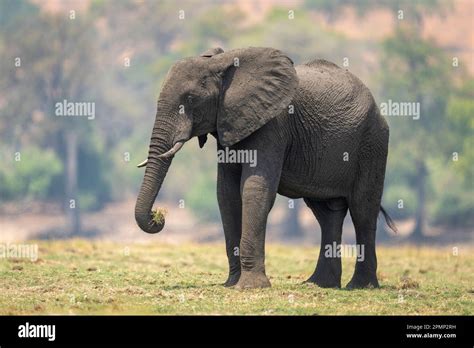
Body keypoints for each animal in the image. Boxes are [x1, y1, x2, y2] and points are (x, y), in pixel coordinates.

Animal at [134, 47, 396, 290]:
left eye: (190, 99)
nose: (159, 216)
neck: (223, 63)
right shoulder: (229, 123)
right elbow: (226, 193)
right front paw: (232, 284)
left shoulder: (272, 124)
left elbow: (254, 188)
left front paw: (250, 287)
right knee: (327, 214)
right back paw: (320, 284)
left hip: (372, 142)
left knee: (363, 210)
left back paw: (360, 286)